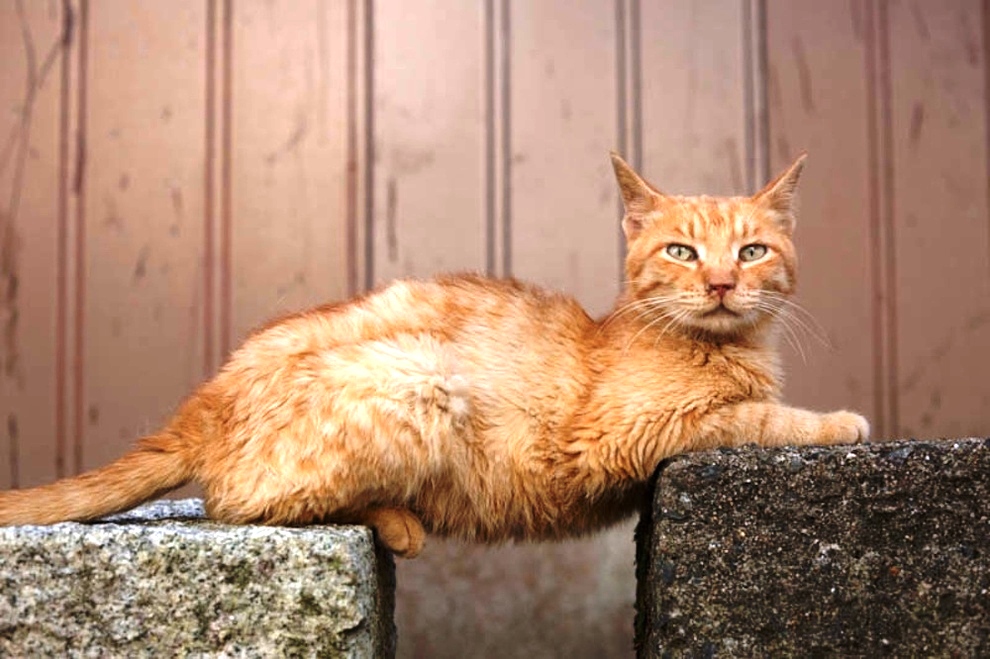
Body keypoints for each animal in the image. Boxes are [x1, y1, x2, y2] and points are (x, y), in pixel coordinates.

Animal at [0, 153, 868, 556]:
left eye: (752, 251)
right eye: (682, 252)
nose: (721, 282)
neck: (719, 346)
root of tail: (205, 397)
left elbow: (753, 410)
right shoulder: (630, 436)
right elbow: (757, 418)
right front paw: (839, 420)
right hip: (419, 377)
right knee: (241, 502)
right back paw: (394, 518)